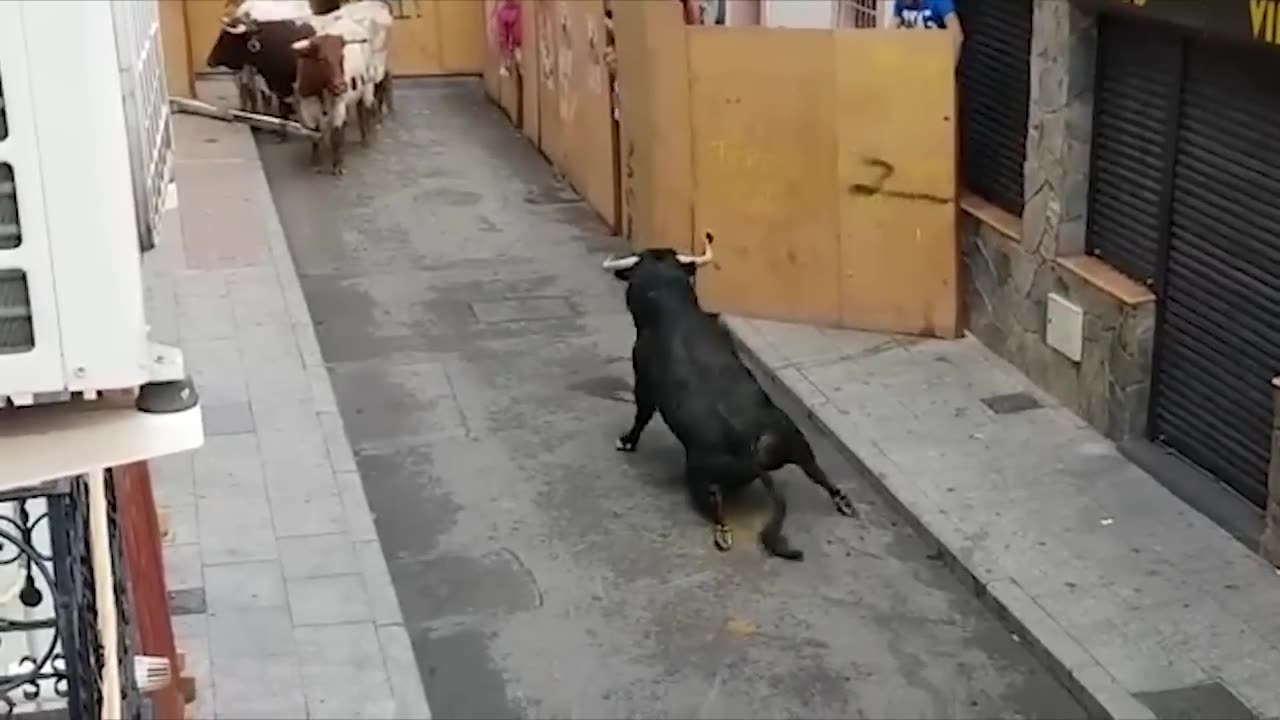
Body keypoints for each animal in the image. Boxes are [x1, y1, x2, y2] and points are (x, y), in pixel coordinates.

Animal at [601, 233, 860, 558]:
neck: (673, 311)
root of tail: (753, 444)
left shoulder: (643, 381)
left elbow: (642, 414)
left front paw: (626, 441)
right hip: (798, 443)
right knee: (819, 473)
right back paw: (843, 502)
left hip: (700, 477)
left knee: (716, 506)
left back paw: (722, 534)